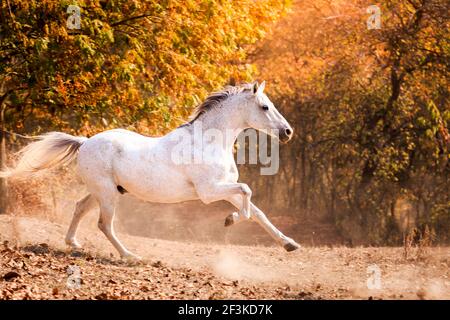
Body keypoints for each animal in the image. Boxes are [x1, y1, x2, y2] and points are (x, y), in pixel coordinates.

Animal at [2, 81, 302, 258]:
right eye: (264, 107)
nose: (288, 132)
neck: (209, 142)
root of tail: (85, 142)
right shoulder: (209, 192)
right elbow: (248, 193)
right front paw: (230, 219)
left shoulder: (224, 190)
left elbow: (259, 212)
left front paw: (289, 244)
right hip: (107, 195)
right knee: (104, 224)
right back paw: (130, 256)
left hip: (105, 191)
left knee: (79, 207)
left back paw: (73, 243)